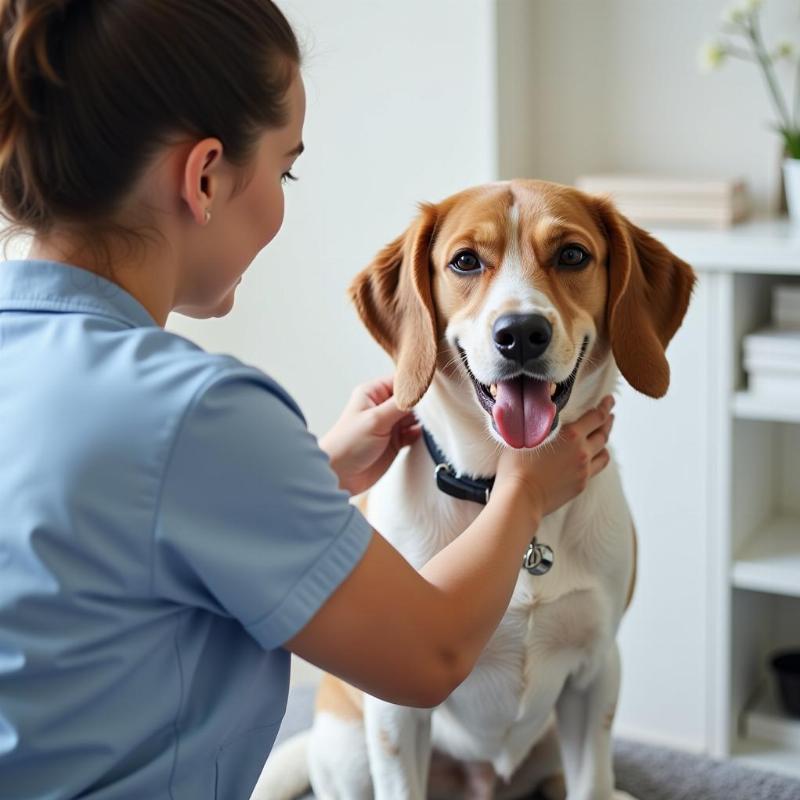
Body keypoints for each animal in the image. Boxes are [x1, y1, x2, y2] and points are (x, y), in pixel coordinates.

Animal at [256, 181, 692, 800]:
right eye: (465, 261)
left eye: (572, 255)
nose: (520, 333)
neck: (503, 496)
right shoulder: (397, 713)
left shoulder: (596, 676)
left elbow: (591, 781)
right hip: (352, 747)